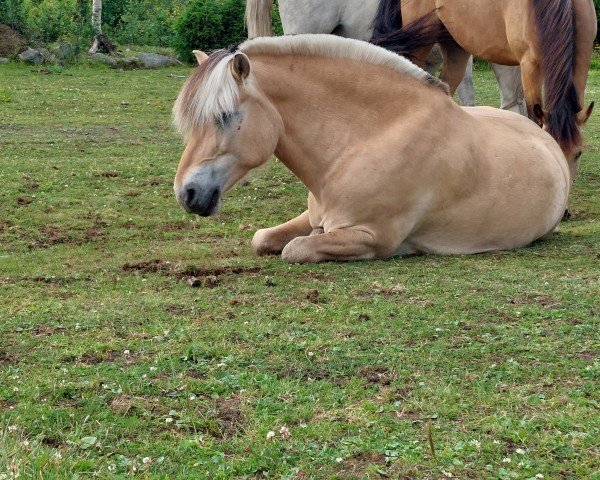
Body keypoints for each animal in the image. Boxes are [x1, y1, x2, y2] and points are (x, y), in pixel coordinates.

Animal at [172, 35, 584, 264]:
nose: (186, 193)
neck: (365, 141)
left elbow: (296, 249)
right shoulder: (313, 217)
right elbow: (261, 239)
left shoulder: (371, 236)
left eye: (225, 115)